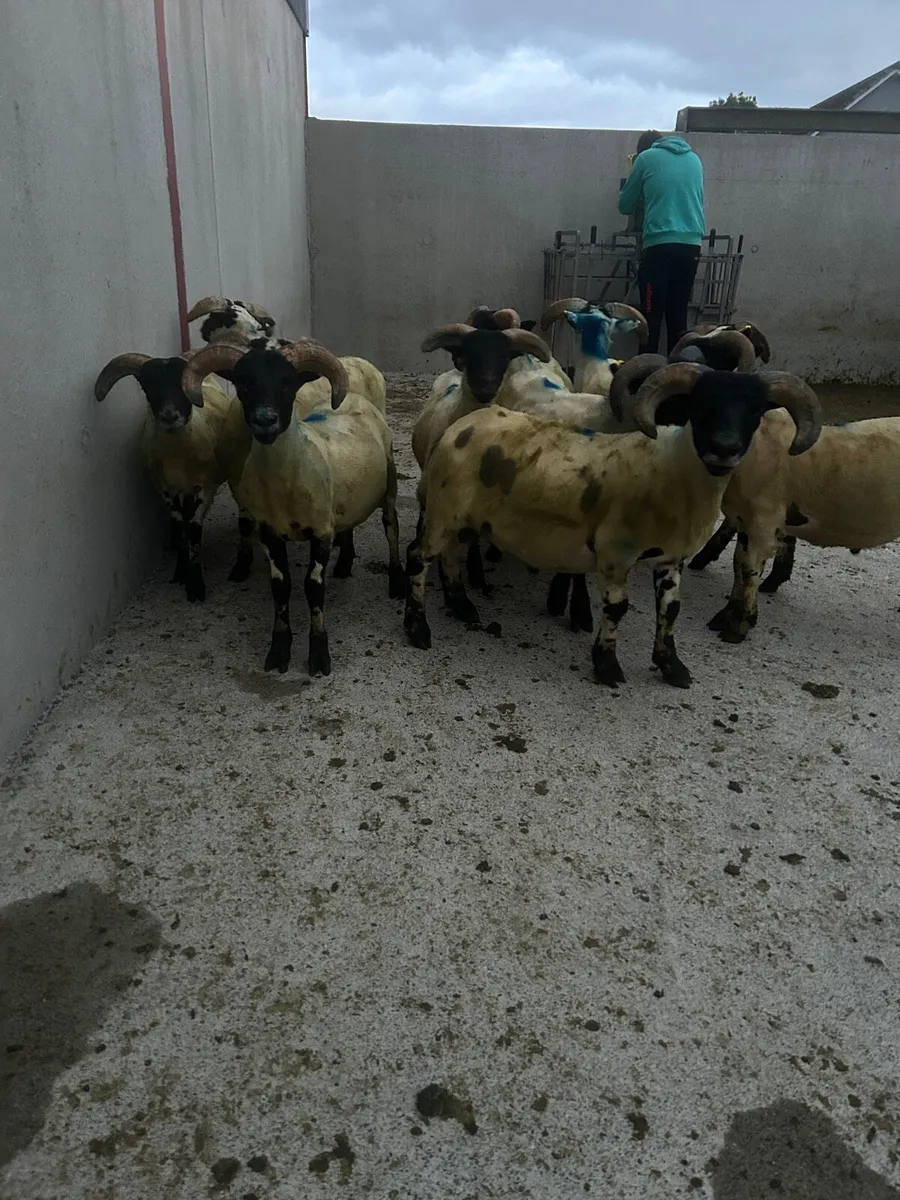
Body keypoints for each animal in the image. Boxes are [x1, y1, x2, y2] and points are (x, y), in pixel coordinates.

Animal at [94, 350, 251, 602]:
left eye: (183, 385)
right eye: (147, 385)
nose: (169, 416)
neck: (177, 457)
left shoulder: (203, 486)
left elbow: (194, 529)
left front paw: (195, 585)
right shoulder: (166, 489)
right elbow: (179, 525)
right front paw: (180, 571)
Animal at [181, 339, 404, 678]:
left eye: (287, 384)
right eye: (244, 383)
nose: (265, 420)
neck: (287, 479)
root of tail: (355, 398)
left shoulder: (321, 533)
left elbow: (313, 589)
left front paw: (319, 656)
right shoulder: (269, 534)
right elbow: (280, 588)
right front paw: (278, 652)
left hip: (389, 486)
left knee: (391, 528)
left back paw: (396, 580)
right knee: (349, 522)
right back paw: (344, 564)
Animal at [403, 362, 820, 689]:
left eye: (755, 411)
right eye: (701, 405)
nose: (724, 448)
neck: (672, 470)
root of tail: (459, 426)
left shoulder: (671, 558)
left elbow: (671, 609)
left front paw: (672, 667)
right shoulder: (615, 551)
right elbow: (617, 608)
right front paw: (607, 666)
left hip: (465, 521)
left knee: (451, 558)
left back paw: (463, 607)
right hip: (443, 511)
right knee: (418, 557)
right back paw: (418, 628)